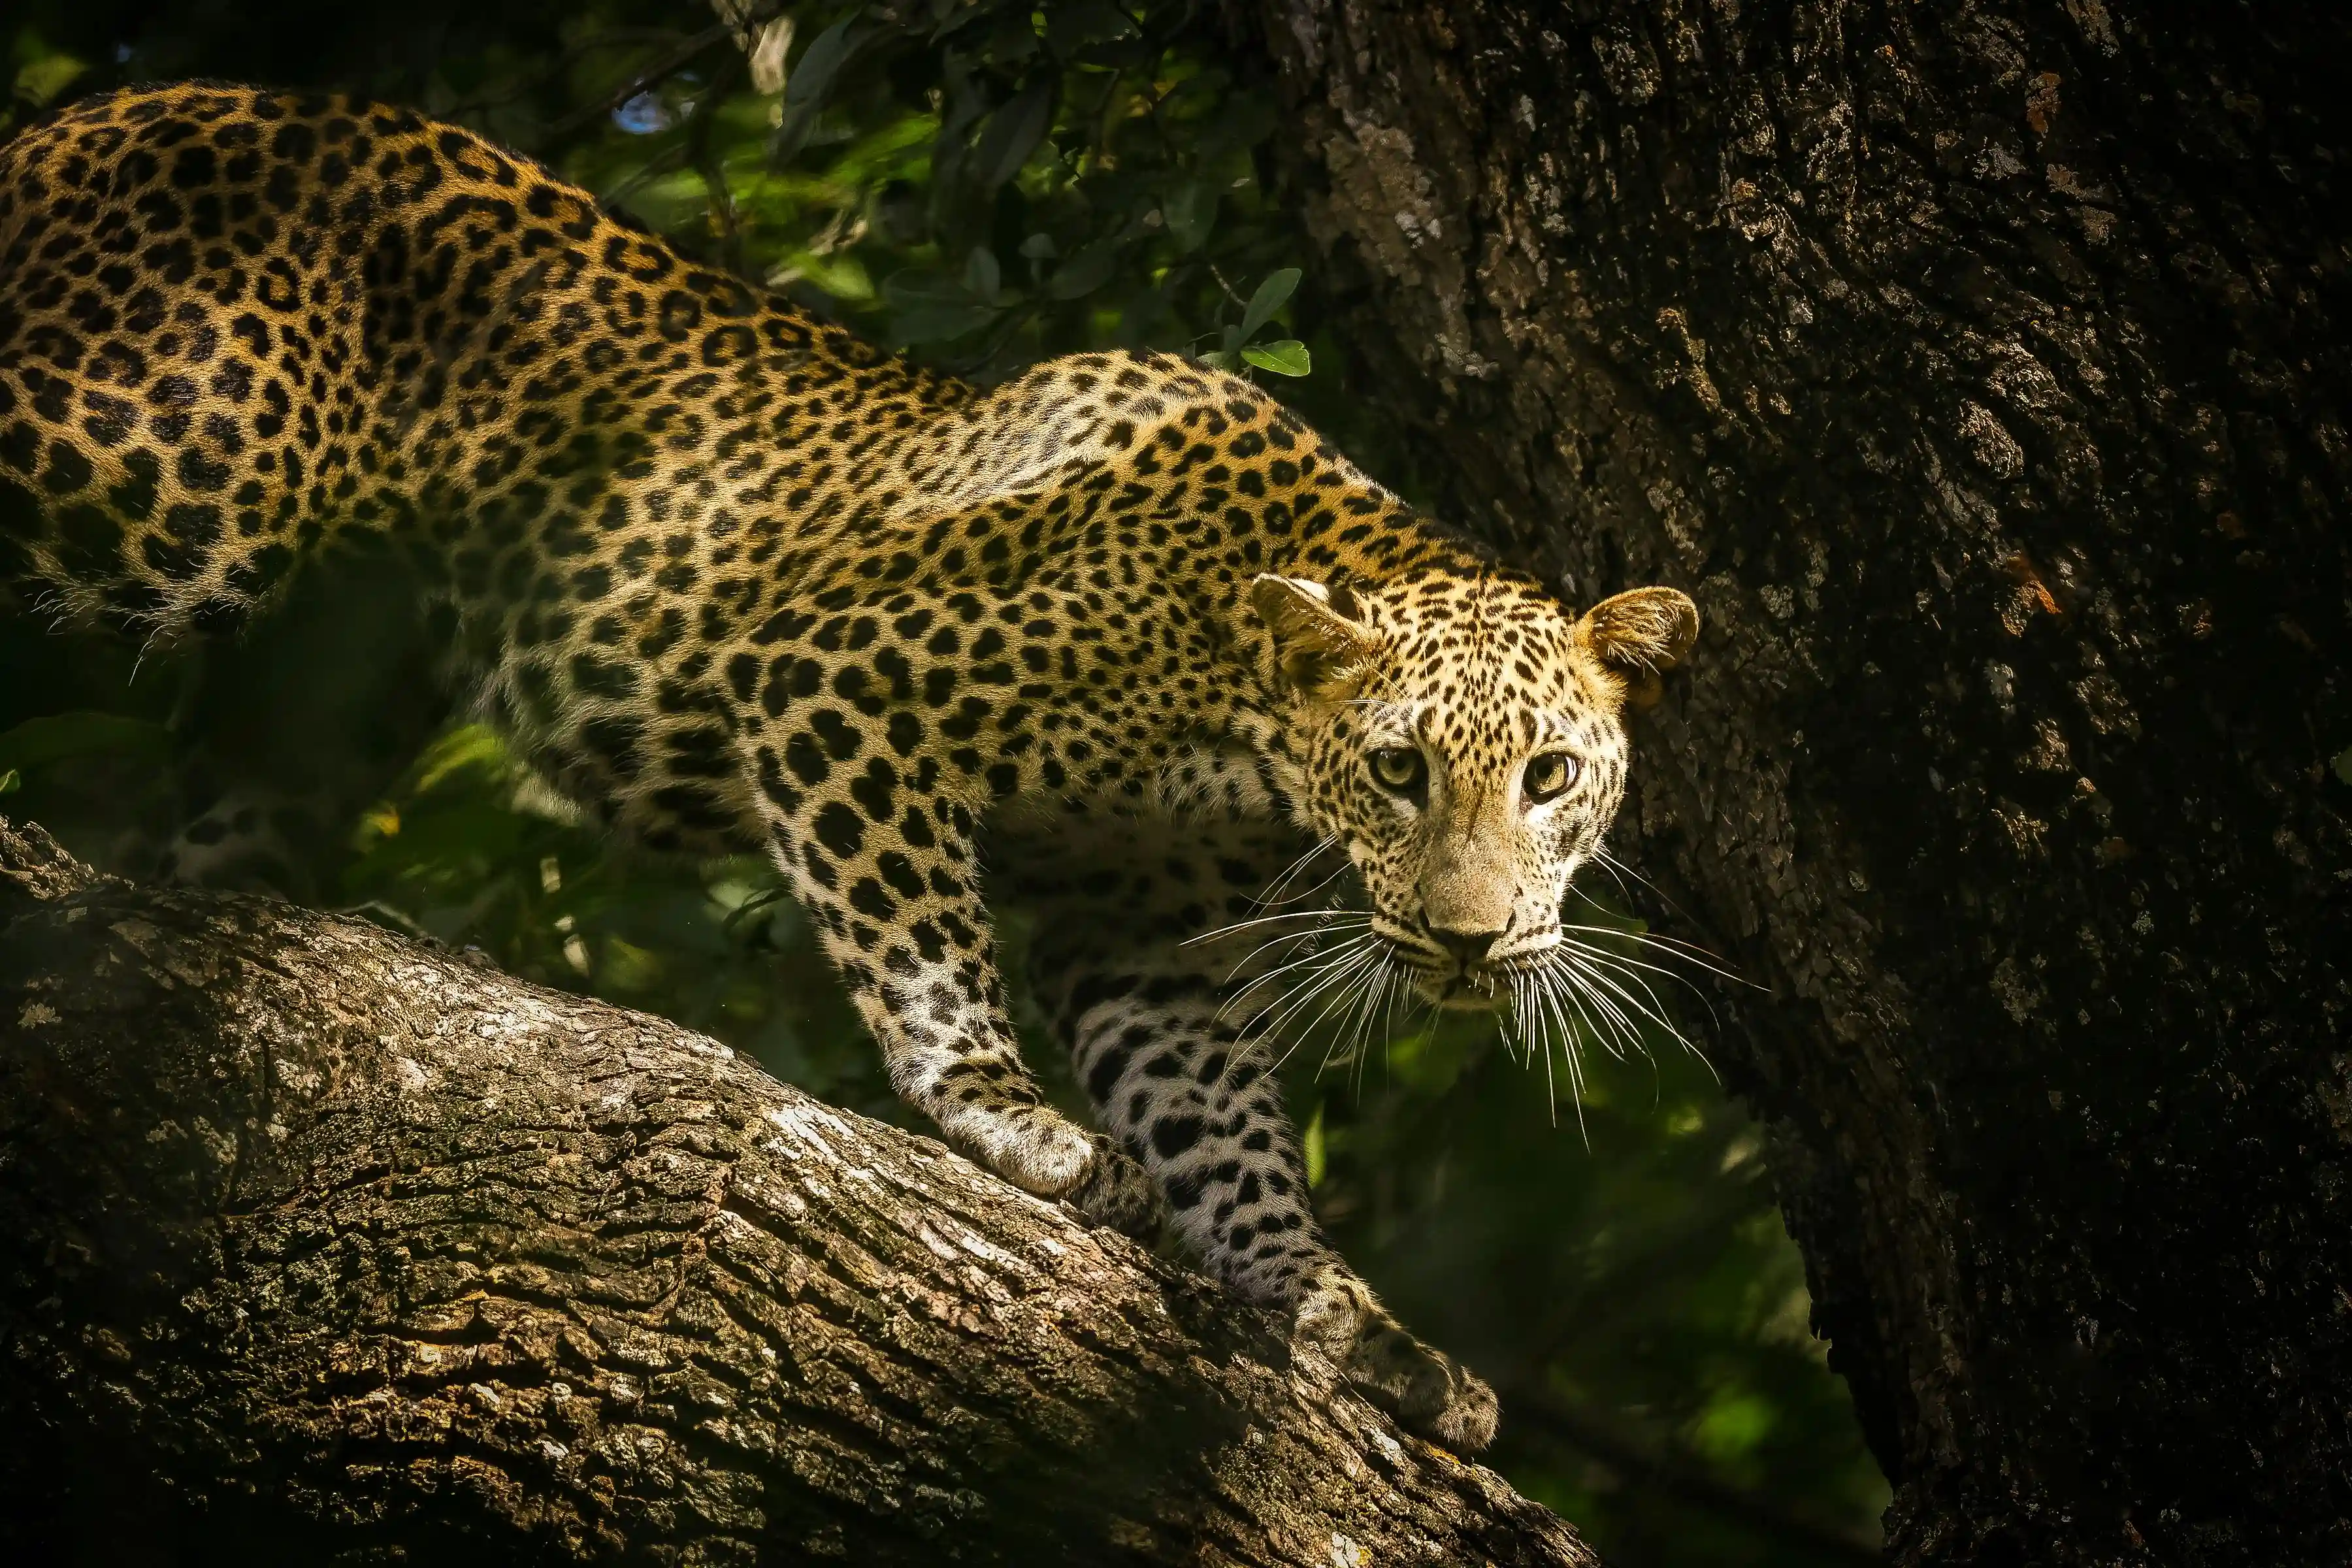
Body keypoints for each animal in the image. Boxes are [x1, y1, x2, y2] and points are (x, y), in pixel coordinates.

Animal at [0, 82, 1699, 1453]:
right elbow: (927, 948)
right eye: (1401, 773)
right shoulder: (838, 683)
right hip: (149, 459)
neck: (1237, 709)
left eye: (1550, 778)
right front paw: (1009, 1117)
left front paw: (1342, 1312)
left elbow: (1220, 1125)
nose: (1474, 941)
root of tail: (100, 115)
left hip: (315, 692)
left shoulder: (1135, 920)